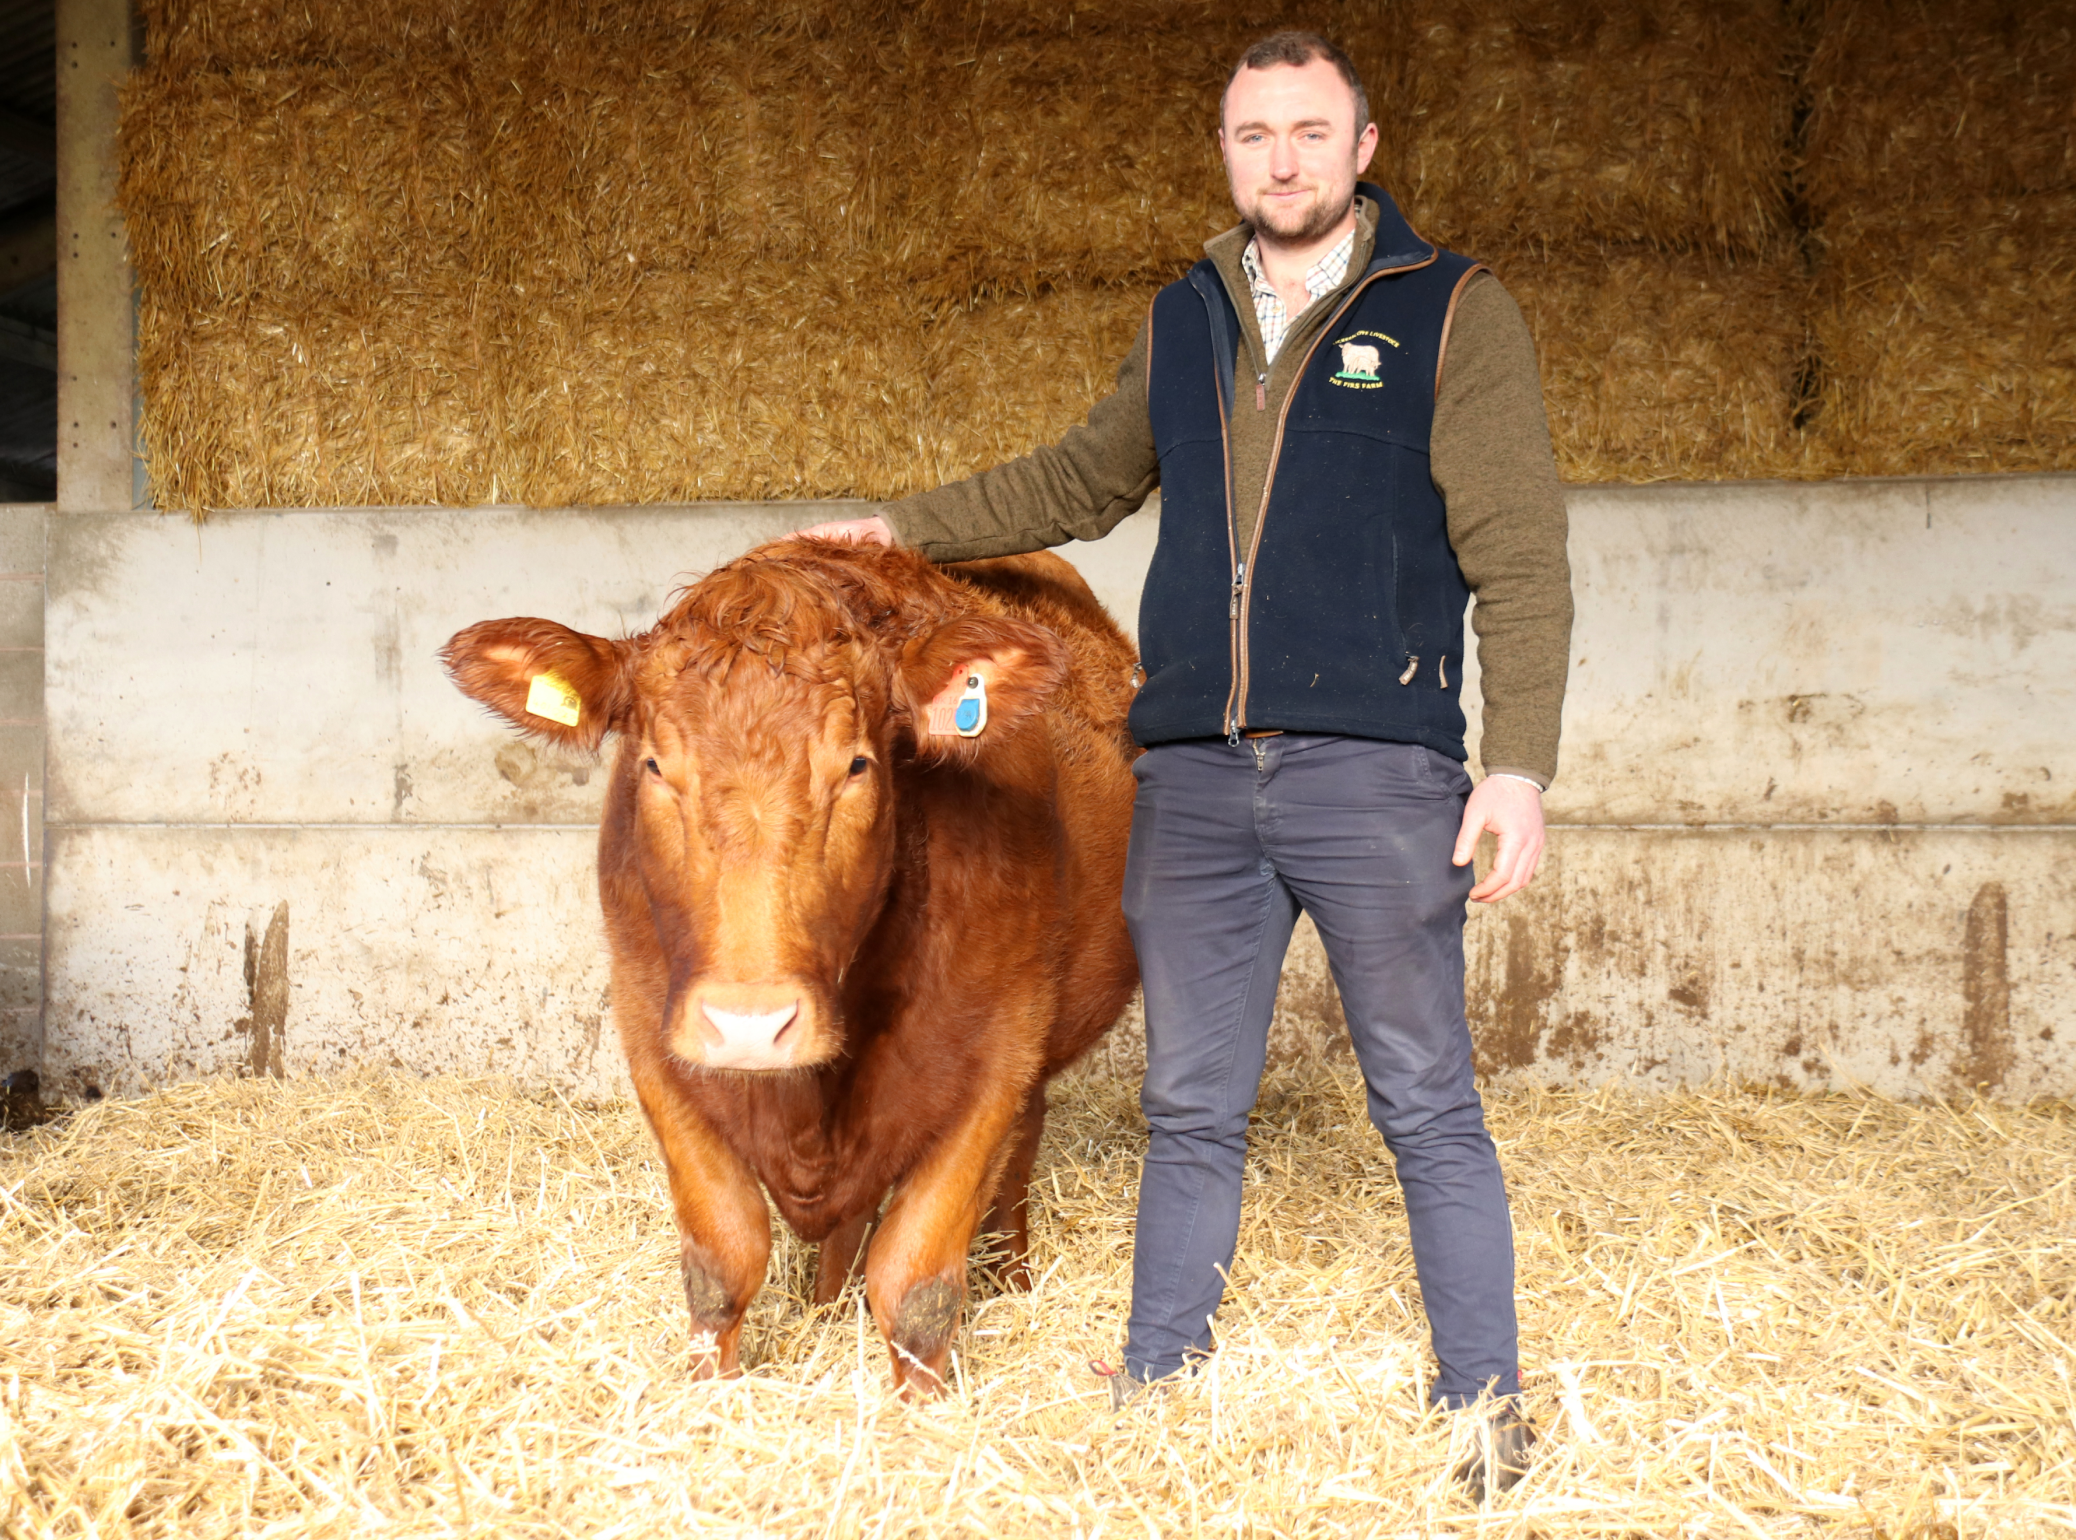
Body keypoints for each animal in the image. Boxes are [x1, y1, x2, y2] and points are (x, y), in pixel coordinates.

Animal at [441, 540, 1141, 1393]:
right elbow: (723, 1259)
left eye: (859, 766)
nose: (750, 1025)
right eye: (654, 766)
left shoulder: (996, 1059)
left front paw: (923, 1407)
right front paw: (709, 1391)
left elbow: (917, 1284)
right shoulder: (653, 1039)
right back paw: (826, 1304)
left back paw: (1011, 1276)